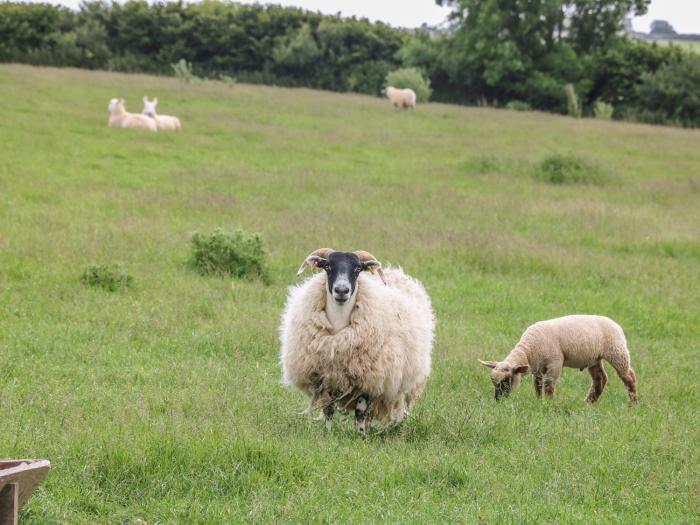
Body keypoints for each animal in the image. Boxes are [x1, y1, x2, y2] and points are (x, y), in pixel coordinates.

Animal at [278, 250, 432, 434]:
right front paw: (328, 433)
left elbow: (360, 411)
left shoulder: (368, 379)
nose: (341, 290)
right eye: (327, 267)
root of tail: (395, 271)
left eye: (358, 269)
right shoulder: (325, 376)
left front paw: (361, 435)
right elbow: (328, 409)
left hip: (407, 378)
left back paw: (397, 427)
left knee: (401, 404)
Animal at [478, 314, 636, 404]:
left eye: (506, 380)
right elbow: (537, 385)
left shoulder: (555, 363)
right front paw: (539, 402)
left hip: (617, 351)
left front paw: (549, 404)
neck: (529, 350)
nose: (498, 401)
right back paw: (588, 403)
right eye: (492, 381)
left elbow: (548, 385)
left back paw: (633, 403)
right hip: (594, 358)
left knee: (629, 376)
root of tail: (616, 325)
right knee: (600, 379)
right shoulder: (537, 368)